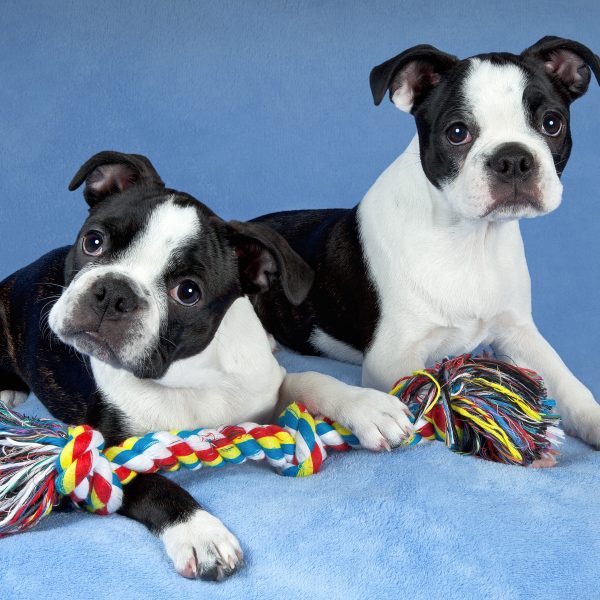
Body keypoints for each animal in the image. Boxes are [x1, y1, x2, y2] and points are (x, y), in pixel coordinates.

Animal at [0, 151, 412, 580]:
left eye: (188, 292)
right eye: (93, 242)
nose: (113, 292)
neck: (187, 374)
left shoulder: (265, 389)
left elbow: (315, 379)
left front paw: (369, 408)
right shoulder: (102, 461)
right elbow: (155, 486)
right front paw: (200, 534)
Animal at [251, 36, 600, 450]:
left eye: (551, 123)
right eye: (457, 132)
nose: (513, 158)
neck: (470, 239)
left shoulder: (518, 331)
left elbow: (568, 383)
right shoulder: (392, 359)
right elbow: (430, 397)